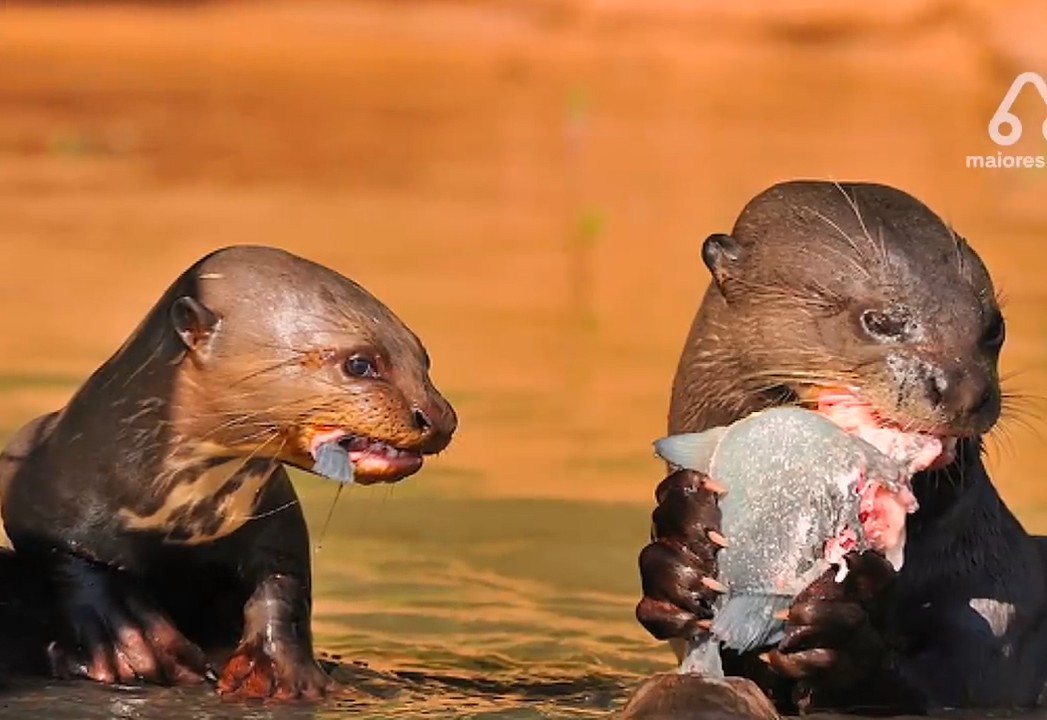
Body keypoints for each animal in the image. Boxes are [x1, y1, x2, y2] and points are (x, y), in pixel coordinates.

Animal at [0, 245, 458, 699]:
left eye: (425, 360)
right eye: (360, 364)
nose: (441, 418)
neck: (184, 515)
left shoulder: (277, 511)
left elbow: (285, 577)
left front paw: (280, 668)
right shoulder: (34, 471)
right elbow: (69, 555)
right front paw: (129, 636)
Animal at [628, 181, 1047, 715]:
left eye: (994, 326)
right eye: (879, 321)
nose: (963, 388)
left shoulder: (1001, 625)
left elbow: (947, 687)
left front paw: (834, 629)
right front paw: (677, 552)